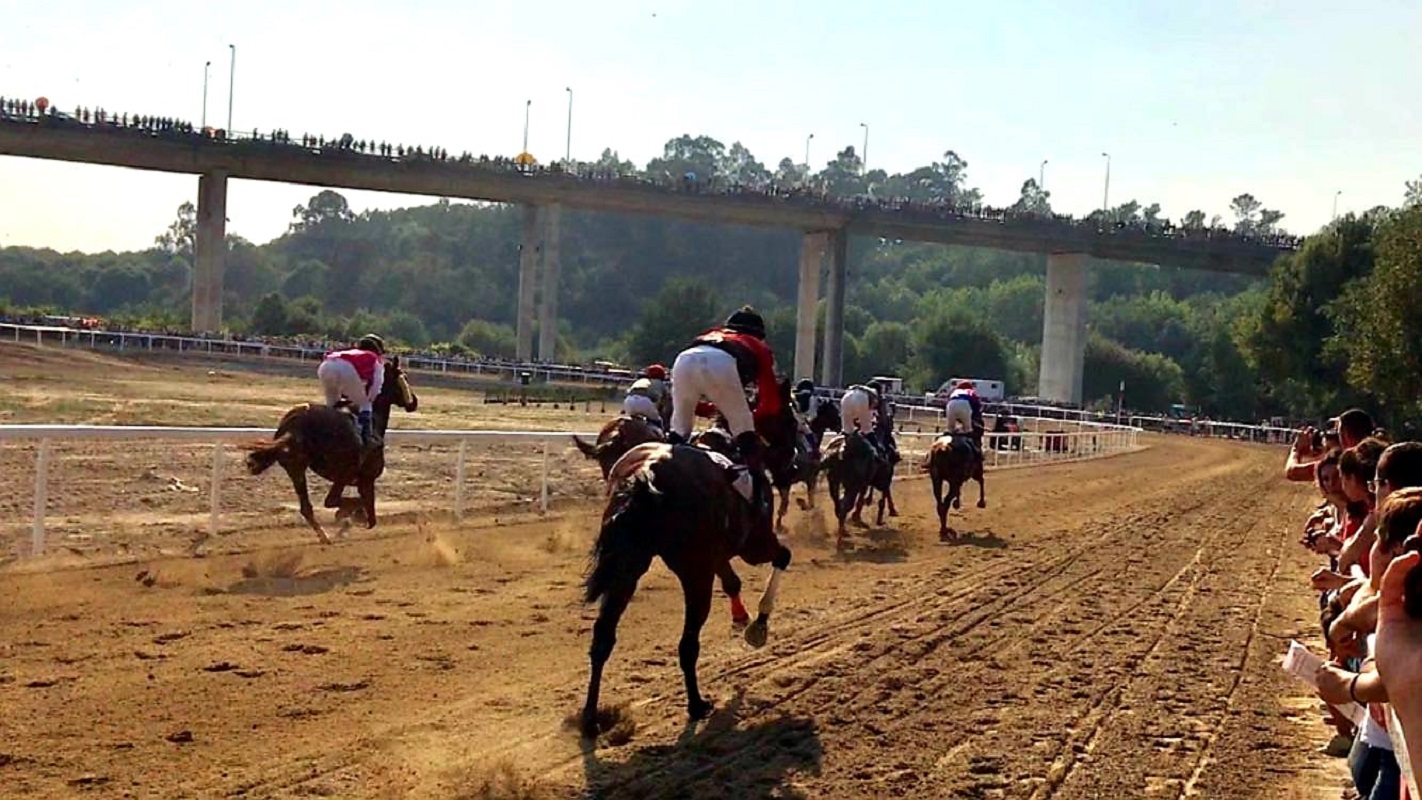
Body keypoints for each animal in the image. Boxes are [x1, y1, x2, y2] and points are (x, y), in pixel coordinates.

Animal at [244, 358, 415, 542]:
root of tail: (294, 426)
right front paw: (351, 518)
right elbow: (368, 511)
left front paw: (348, 521)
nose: (414, 402)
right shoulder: (367, 479)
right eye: (404, 377)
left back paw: (324, 537)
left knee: (307, 507)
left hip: (296, 468)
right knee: (331, 500)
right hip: (344, 471)